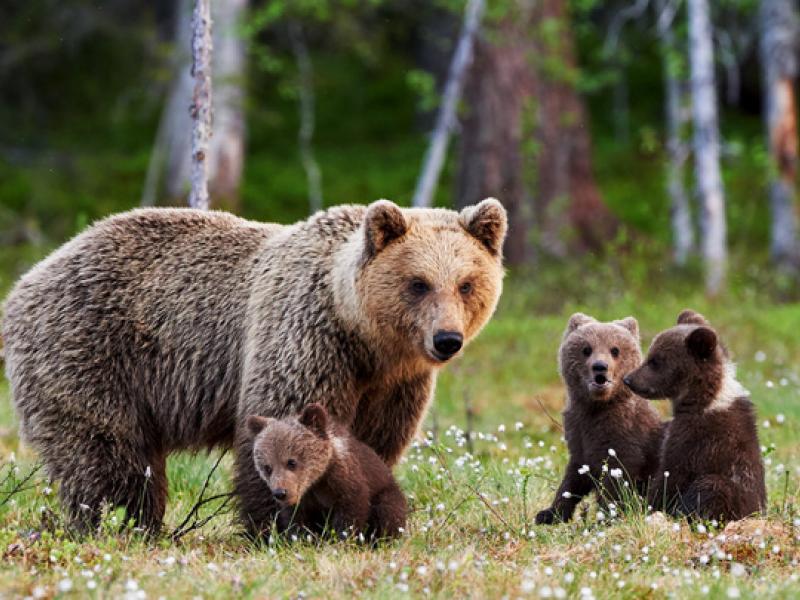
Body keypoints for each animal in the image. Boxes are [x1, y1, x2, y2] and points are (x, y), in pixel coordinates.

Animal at [244, 404, 406, 540]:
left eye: (291, 462)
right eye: (267, 467)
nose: (280, 492)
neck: (316, 481)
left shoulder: (346, 481)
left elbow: (351, 511)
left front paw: (342, 539)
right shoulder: (303, 502)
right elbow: (296, 521)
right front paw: (301, 539)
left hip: (387, 492)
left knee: (388, 509)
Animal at [536, 314, 664, 524]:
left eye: (615, 350)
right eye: (586, 349)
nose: (600, 367)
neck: (598, 407)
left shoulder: (625, 437)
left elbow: (616, 481)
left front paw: (606, 516)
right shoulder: (579, 433)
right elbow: (574, 477)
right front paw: (549, 513)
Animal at [620, 310, 764, 520]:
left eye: (655, 360)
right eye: (650, 355)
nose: (628, 379)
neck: (704, 400)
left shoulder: (696, 440)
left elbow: (671, 476)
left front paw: (645, 506)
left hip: (728, 493)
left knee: (713, 487)